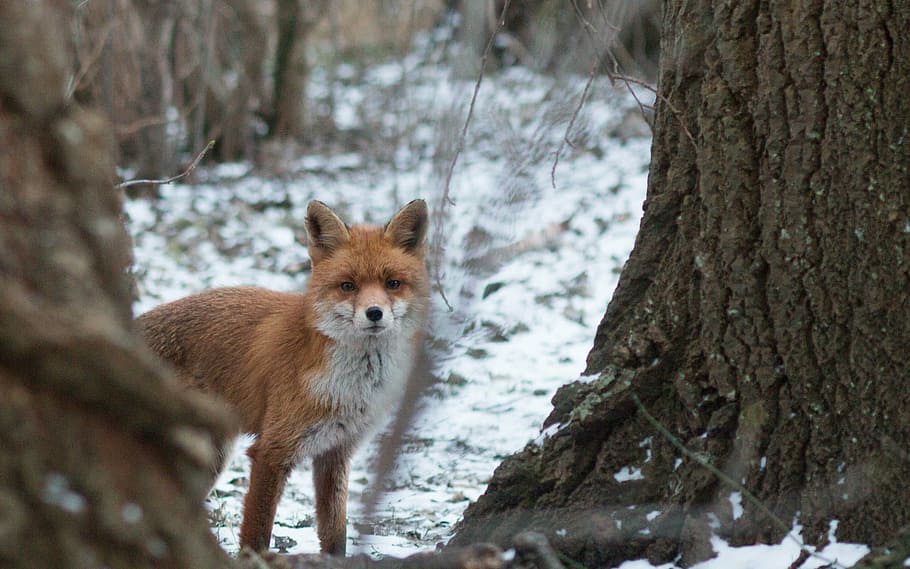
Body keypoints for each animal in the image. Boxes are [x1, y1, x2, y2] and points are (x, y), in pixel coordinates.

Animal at [136, 199, 430, 555]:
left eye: (392, 283)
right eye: (348, 285)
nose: (374, 313)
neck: (351, 388)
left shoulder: (336, 451)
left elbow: (335, 533)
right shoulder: (271, 451)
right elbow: (257, 534)